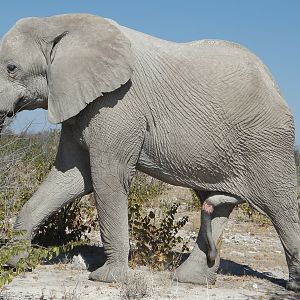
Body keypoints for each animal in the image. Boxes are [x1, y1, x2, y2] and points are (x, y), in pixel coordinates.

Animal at [0, 13, 298, 290]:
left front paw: (106, 278)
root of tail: (275, 84)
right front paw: (14, 261)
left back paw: (292, 285)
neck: (57, 22)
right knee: (214, 202)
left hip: (267, 143)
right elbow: (71, 176)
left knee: (280, 207)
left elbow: (107, 178)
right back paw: (189, 279)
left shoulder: (118, 104)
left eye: (11, 68)